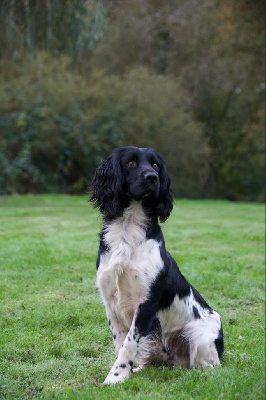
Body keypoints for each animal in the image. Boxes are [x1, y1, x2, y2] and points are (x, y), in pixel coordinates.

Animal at [90, 146, 223, 384]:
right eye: (131, 163)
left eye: (155, 165)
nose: (152, 177)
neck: (128, 230)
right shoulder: (110, 302)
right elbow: (120, 343)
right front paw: (123, 373)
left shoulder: (146, 302)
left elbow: (129, 344)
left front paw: (116, 376)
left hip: (200, 336)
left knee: (209, 366)